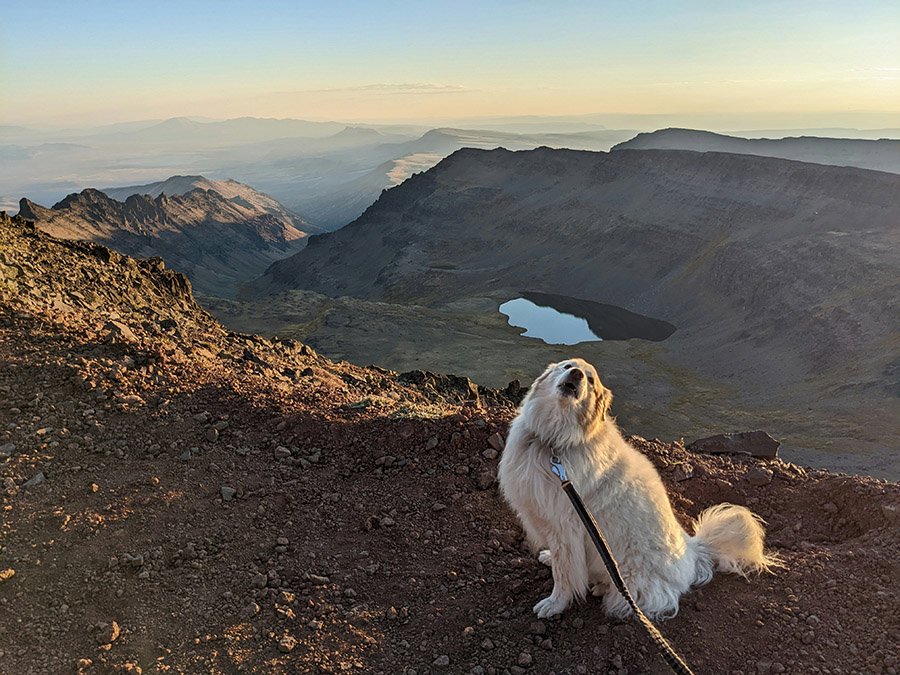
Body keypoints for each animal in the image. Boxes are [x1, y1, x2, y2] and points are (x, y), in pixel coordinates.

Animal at [500, 362, 780, 620]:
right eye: (567, 365)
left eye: (591, 381)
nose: (577, 374)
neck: (554, 442)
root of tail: (693, 552)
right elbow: (560, 562)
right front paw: (548, 557)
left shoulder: (565, 528)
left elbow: (564, 573)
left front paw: (554, 604)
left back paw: (604, 589)